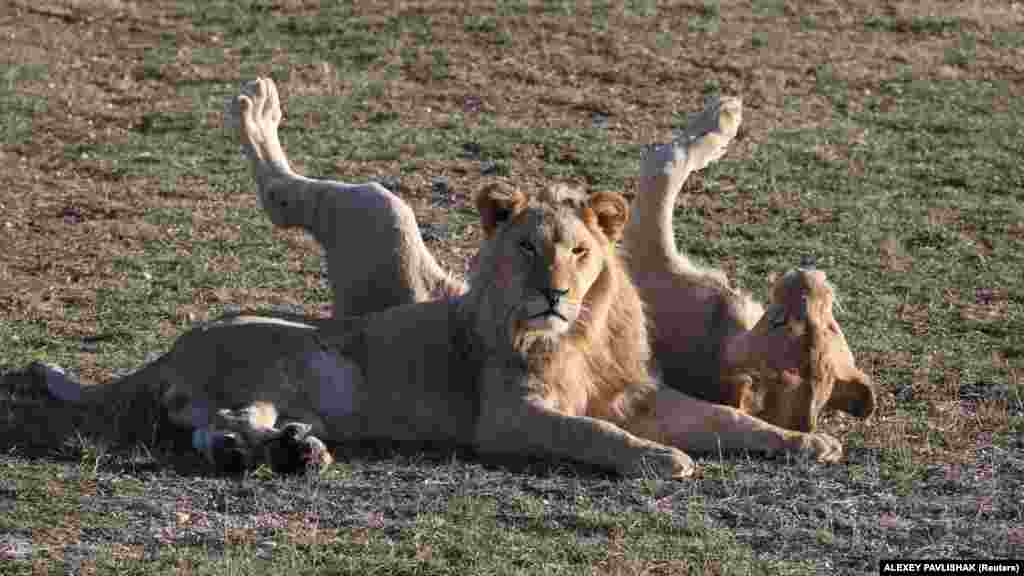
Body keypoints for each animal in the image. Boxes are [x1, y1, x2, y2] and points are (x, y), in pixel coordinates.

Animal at [24, 182, 839, 475]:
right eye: (527, 247)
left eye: (579, 250)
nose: (554, 292)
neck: (577, 336)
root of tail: (172, 345)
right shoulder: (508, 418)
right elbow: (593, 434)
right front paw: (659, 460)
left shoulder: (638, 395)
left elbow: (728, 418)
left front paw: (809, 442)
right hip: (299, 359)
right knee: (217, 420)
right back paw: (274, 452)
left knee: (213, 425)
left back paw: (293, 450)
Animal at [224, 76, 872, 430]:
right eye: (830, 326)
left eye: (792, 322)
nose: (810, 279)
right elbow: (670, 163)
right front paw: (723, 115)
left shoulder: (644, 248)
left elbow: (664, 165)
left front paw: (720, 117)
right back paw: (258, 102)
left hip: (380, 217)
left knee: (284, 195)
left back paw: (254, 104)